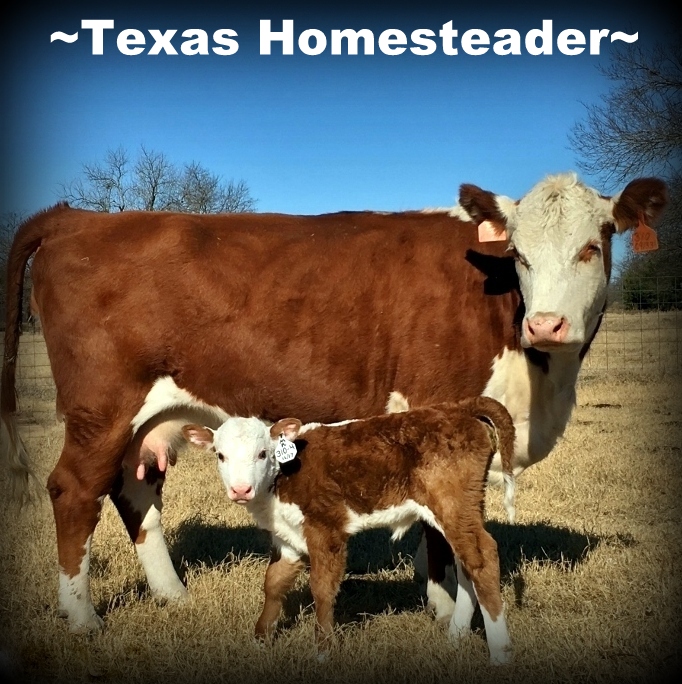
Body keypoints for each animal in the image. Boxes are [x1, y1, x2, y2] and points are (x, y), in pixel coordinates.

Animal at [0, 170, 668, 632]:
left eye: (593, 246)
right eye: (520, 254)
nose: (547, 324)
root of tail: (79, 218)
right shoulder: (438, 411)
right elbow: (440, 533)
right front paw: (444, 609)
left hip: (144, 419)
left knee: (133, 490)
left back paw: (175, 597)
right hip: (102, 408)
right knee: (75, 491)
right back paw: (83, 619)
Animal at [182, 396, 516, 664]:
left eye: (263, 453)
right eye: (220, 455)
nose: (241, 490)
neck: (284, 477)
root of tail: (457, 408)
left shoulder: (325, 528)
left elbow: (322, 587)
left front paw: (323, 650)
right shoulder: (288, 537)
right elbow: (274, 583)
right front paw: (260, 641)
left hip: (452, 502)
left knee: (483, 556)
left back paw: (500, 653)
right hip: (464, 507)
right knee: (467, 563)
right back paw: (455, 639)